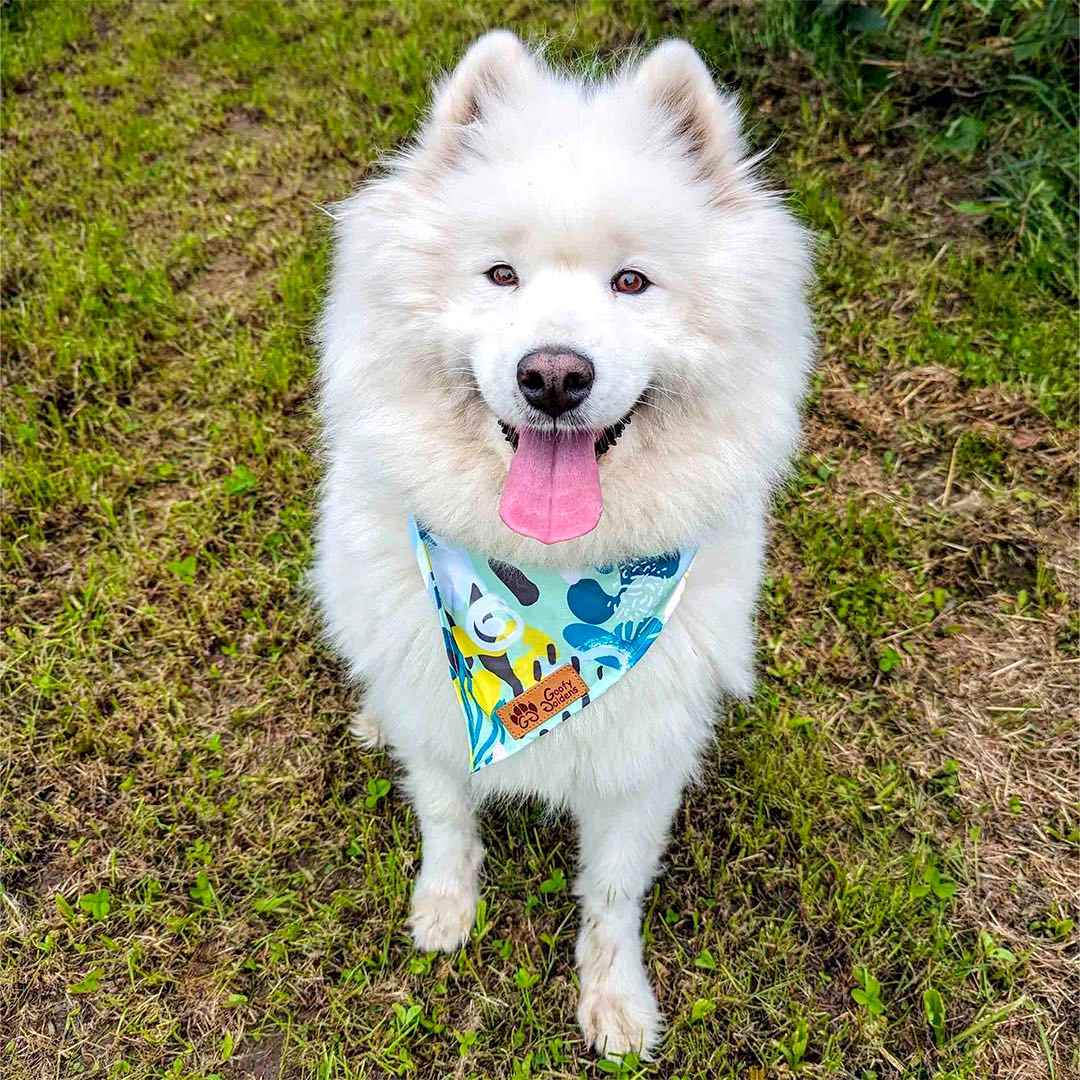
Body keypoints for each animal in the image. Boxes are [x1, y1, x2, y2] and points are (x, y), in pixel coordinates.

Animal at [313, 31, 812, 1054]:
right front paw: (444, 907)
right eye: (501, 275)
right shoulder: (438, 717)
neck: (542, 586)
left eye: (632, 282)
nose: (552, 375)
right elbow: (446, 816)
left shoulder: (642, 761)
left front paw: (615, 999)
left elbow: (613, 893)